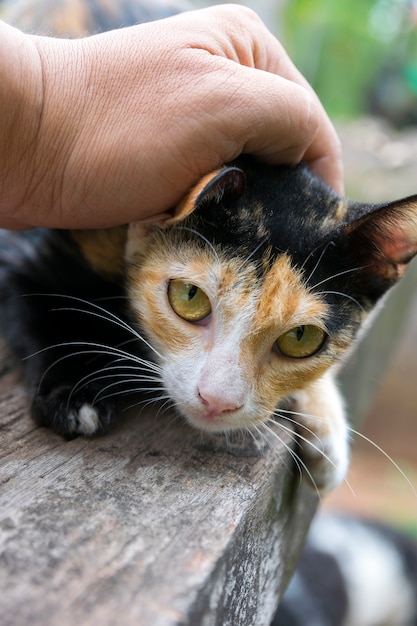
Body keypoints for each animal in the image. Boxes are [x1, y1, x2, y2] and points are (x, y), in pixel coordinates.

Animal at [2, 0, 416, 498]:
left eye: (300, 338)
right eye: (189, 297)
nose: (217, 402)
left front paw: (327, 427)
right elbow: (41, 296)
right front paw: (74, 391)